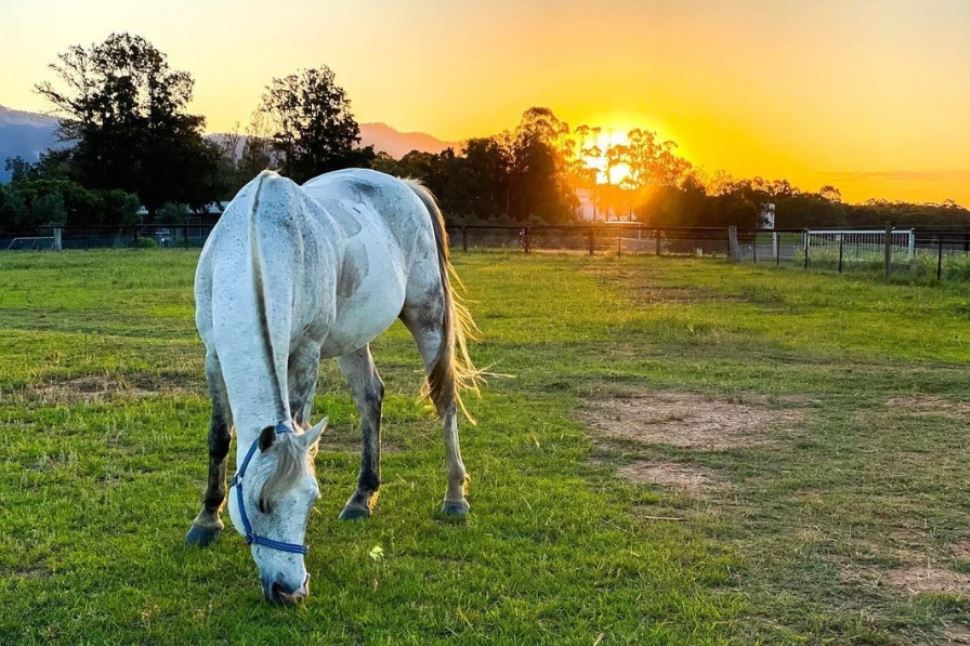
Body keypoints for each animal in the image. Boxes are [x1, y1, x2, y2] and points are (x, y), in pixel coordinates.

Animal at [184, 168, 479, 604]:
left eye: (311, 500)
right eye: (260, 503)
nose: (291, 591)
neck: (254, 245)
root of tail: (404, 185)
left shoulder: (306, 353)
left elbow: (302, 429)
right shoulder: (213, 355)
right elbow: (219, 438)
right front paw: (206, 521)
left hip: (427, 313)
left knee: (444, 399)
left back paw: (455, 496)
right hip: (354, 337)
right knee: (370, 397)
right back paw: (361, 497)